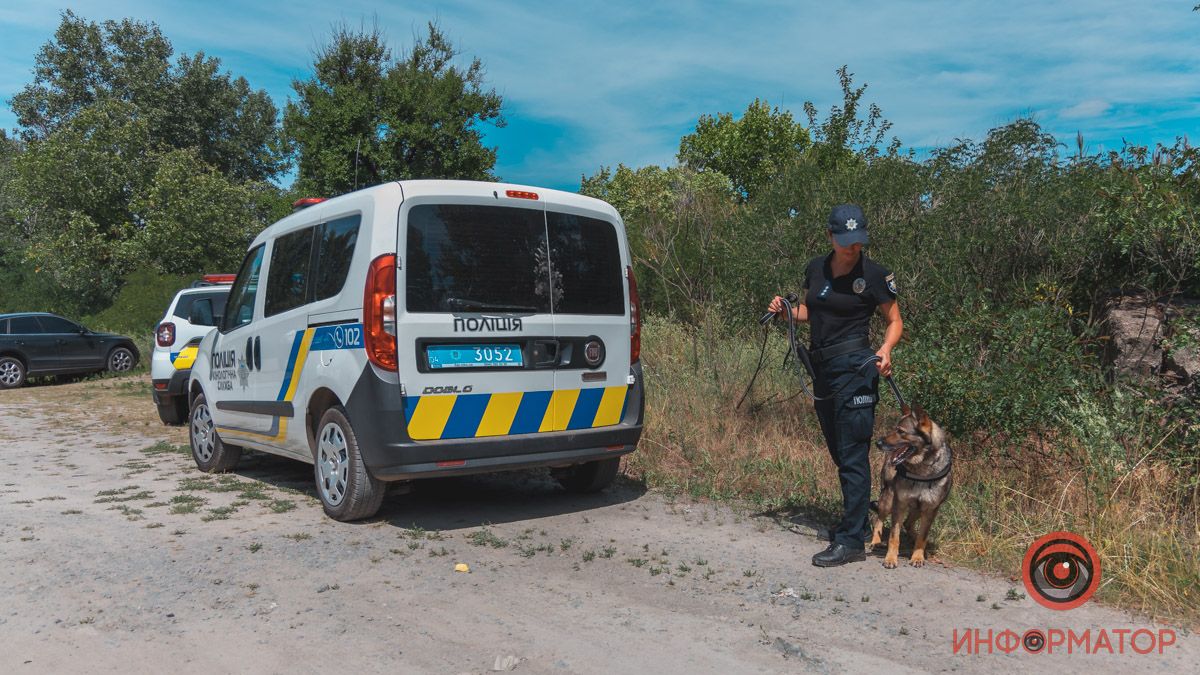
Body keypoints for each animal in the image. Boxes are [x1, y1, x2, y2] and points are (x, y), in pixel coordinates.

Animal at [868, 401, 950, 564]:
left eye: (901, 431)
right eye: (894, 429)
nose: (878, 443)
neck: (921, 470)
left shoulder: (930, 509)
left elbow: (923, 536)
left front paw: (918, 556)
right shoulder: (899, 504)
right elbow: (894, 536)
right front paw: (891, 558)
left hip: (919, 509)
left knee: (909, 524)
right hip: (888, 500)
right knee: (878, 518)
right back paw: (876, 541)